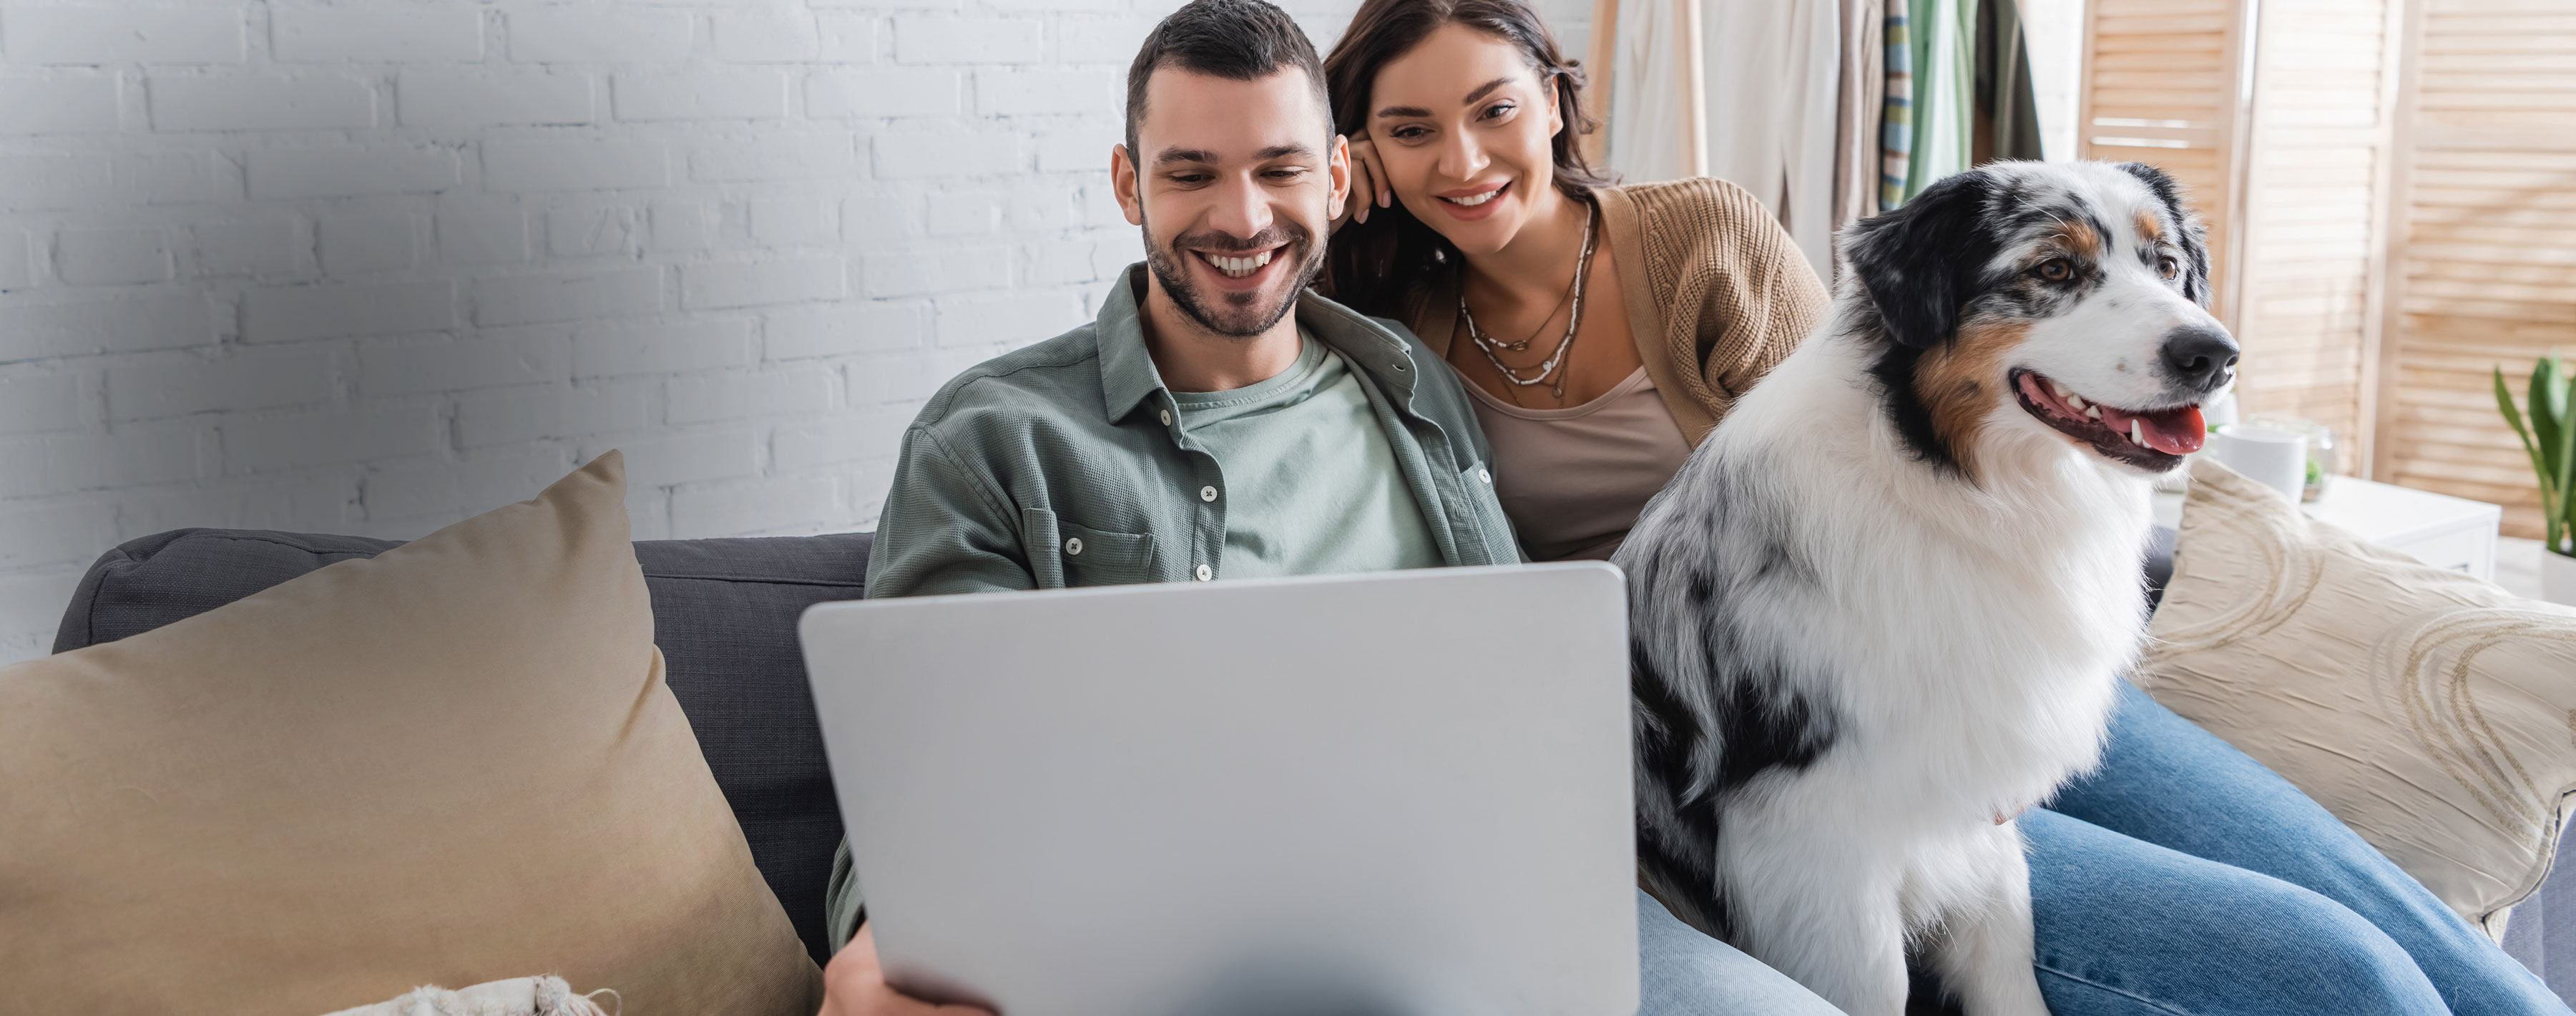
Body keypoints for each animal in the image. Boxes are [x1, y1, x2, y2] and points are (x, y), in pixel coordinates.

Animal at [1627, 162, 2235, 1010]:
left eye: (2169, 266)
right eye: (2054, 269)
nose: (2214, 355)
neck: (1959, 493)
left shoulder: (1971, 806)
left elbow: (2010, 969)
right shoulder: (1812, 839)